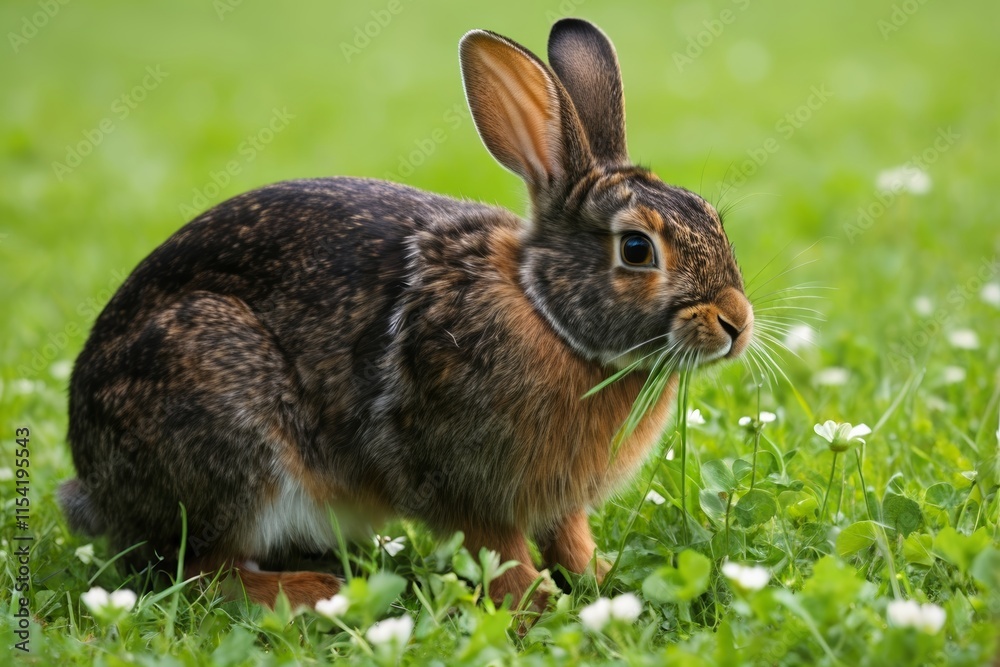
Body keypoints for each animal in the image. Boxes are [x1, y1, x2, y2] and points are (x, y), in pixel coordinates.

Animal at [60, 18, 753, 613]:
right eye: (636, 249)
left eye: (712, 218)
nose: (737, 324)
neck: (546, 313)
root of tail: (94, 484)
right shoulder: (467, 489)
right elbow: (502, 555)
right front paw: (537, 608)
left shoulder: (560, 503)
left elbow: (571, 541)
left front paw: (604, 581)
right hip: (222, 420)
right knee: (204, 568)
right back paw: (313, 590)